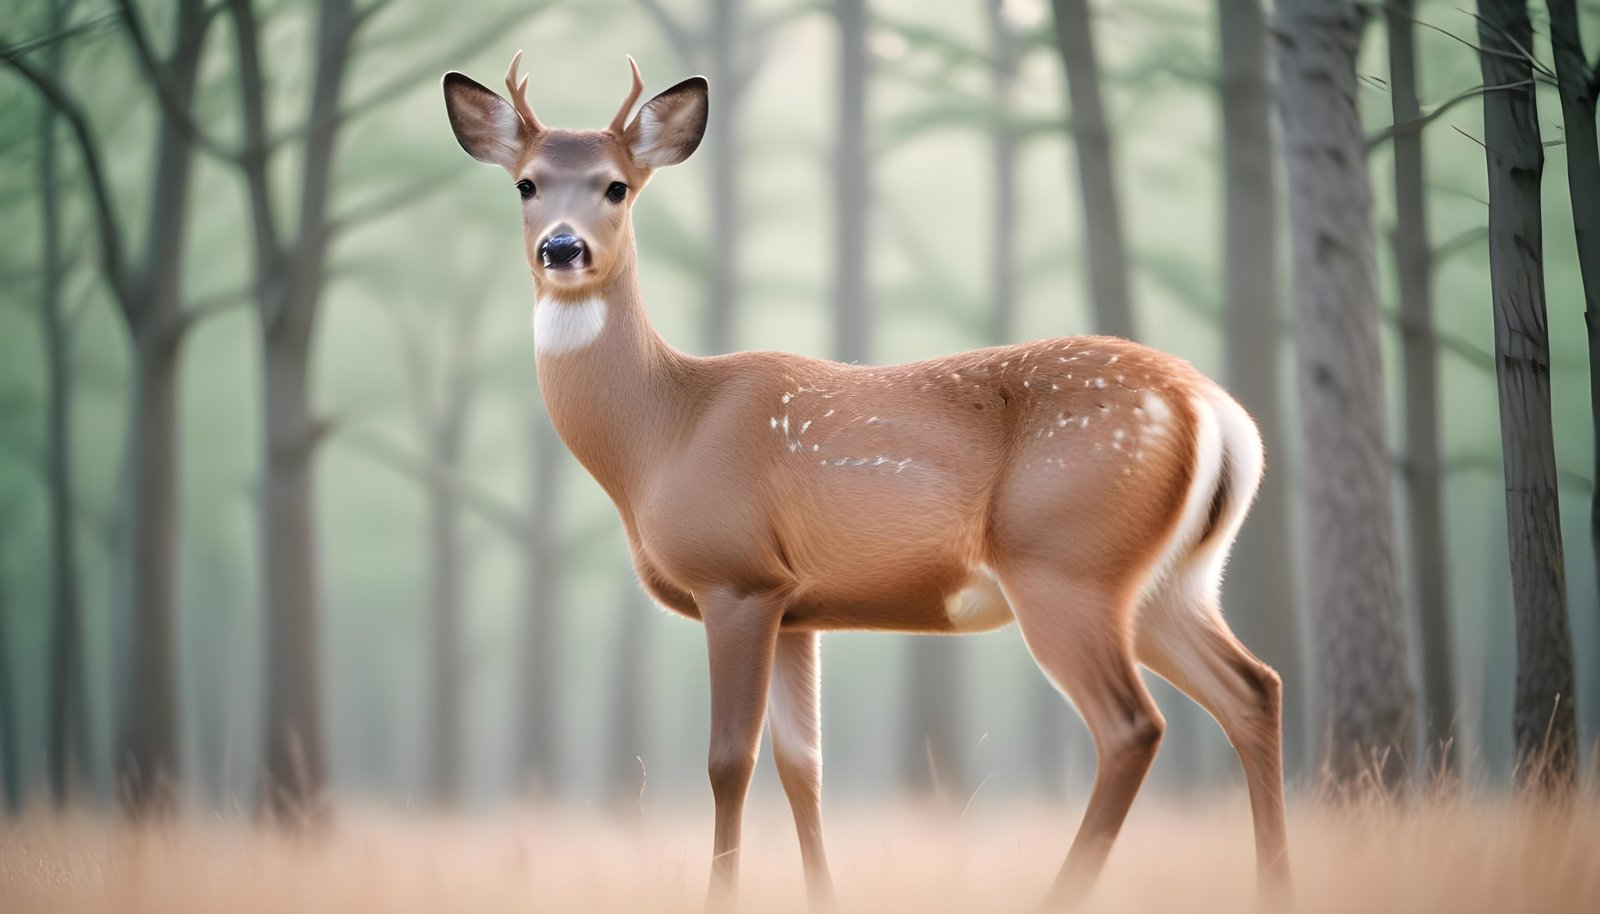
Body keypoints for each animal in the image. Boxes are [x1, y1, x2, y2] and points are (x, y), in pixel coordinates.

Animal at [441, 52, 1291, 910]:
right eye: (527, 183)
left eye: (616, 186)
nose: (562, 248)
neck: (663, 433)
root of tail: (1213, 408)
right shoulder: (797, 607)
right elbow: (802, 767)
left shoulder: (737, 578)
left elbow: (728, 762)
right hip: (1169, 581)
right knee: (1253, 688)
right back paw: (1274, 882)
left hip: (1066, 563)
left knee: (1133, 726)